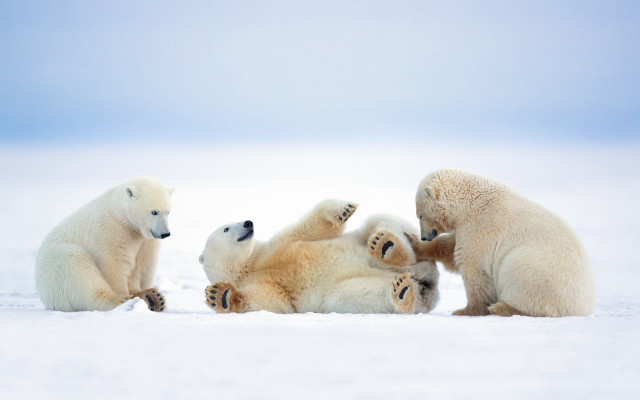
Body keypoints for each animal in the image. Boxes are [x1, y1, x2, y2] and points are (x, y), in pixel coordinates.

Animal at [35, 177, 173, 312]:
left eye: (168, 212)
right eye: (154, 212)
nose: (165, 234)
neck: (120, 216)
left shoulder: (144, 241)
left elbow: (139, 266)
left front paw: (146, 294)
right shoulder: (111, 233)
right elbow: (114, 266)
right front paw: (125, 295)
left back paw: (154, 298)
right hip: (57, 266)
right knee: (78, 269)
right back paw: (120, 302)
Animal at [199, 199, 439, 314]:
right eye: (226, 229)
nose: (249, 222)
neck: (251, 264)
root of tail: (427, 278)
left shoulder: (277, 245)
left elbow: (310, 228)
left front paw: (344, 209)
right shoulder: (263, 283)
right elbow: (271, 302)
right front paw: (220, 296)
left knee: (380, 221)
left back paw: (387, 246)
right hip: (347, 290)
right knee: (353, 294)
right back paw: (403, 292)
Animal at [410, 168, 595, 317]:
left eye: (420, 215)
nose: (424, 237)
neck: (469, 202)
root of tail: (582, 308)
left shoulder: (480, 227)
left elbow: (472, 268)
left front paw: (465, 311)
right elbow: (451, 248)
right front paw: (416, 245)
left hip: (535, 272)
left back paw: (500, 308)